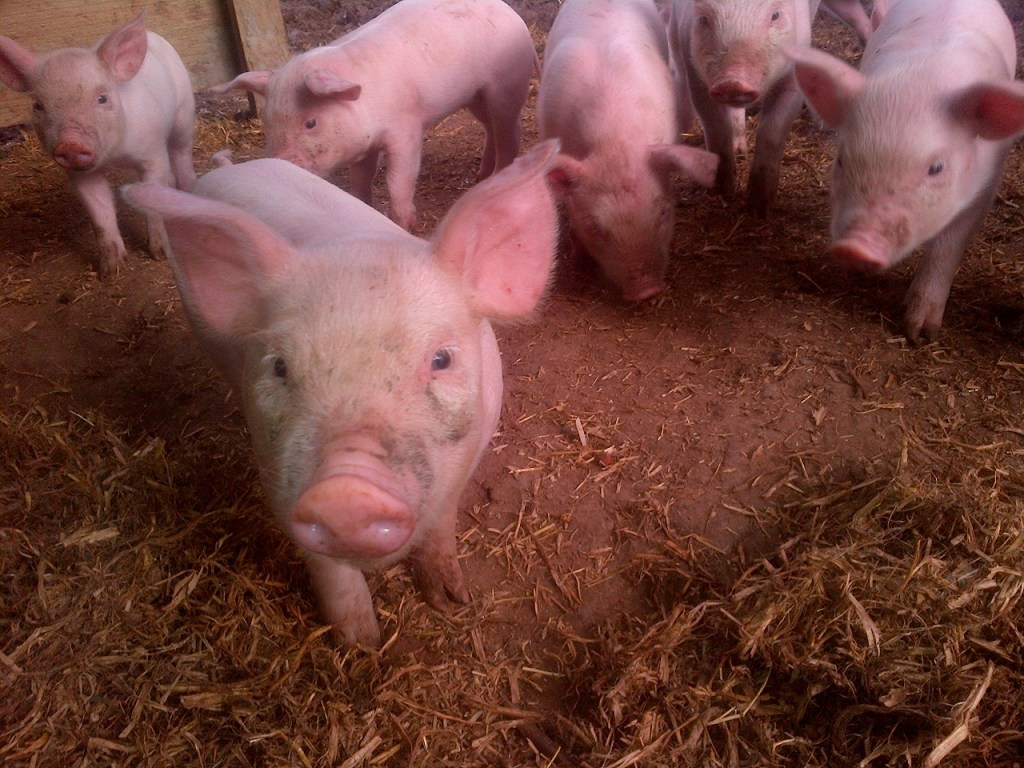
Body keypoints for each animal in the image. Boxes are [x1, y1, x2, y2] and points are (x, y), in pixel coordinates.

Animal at [0, 13, 196, 277]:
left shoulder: (152, 154)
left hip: (184, 113)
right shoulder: (81, 174)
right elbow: (100, 215)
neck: (115, 155)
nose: (71, 143)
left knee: (181, 153)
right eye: (38, 105)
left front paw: (161, 255)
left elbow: (152, 203)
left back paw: (190, 190)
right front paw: (110, 270)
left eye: (102, 98)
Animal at [121, 141, 561, 647]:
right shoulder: (275, 470)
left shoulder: (469, 457)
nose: (347, 489)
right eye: (280, 366)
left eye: (441, 359)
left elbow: (441, 525)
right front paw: (362, 644)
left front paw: (452, 599)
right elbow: (327, 567)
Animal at [211, 0, 536, 233]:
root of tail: (512, 13)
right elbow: (361, 180)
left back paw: (495, 178)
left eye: (311, 122)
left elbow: (398, 178)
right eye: (267, 121)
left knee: (510, 130)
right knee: (491, 128)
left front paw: (405, 223)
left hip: (505, 85)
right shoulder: (363, 148)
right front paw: (361, 205)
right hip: (475, 96)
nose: (279, 163)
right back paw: (481, 176)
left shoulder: (406, 131)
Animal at [667, 0, 822, 216]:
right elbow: (716, 127)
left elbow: (772, 132)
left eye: (775, 16)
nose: (733, 82)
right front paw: (721, 193)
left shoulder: (795, 72)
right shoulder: (695, 75)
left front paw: (758, 208)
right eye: (704, 19)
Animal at [786, 0, 1024, 343]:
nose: (855, 247)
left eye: (936, 168)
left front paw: (920, 333)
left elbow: (947, 246)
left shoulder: (986, 186)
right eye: (841, 160)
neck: (922, 76)